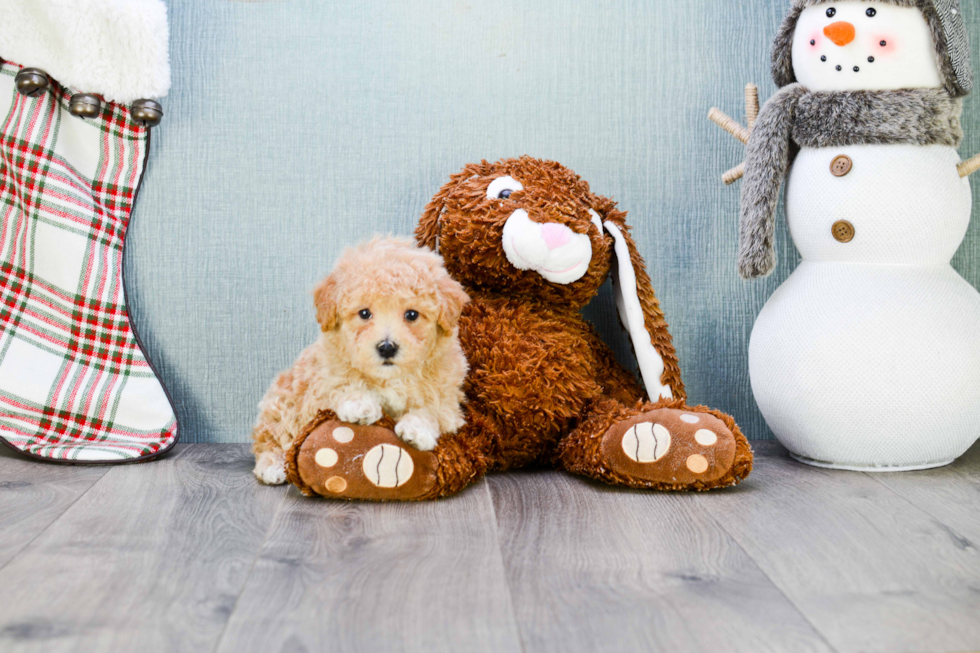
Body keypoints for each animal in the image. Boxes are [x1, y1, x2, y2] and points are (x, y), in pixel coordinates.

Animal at [251, 237, 468, 482]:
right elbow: (340, 387)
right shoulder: (320, 384)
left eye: (412, 314)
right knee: (270, 439)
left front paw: (417, 428)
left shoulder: (448, 399)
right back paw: (272, 465)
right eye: (364, 313)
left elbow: (432, 411)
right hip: (282, 405)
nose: (386, 347)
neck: (389, 378)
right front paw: (360, 404)